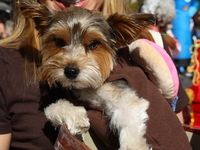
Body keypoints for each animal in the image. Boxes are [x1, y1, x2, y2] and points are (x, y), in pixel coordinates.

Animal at [18, 0, 155, 149]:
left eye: (93, 44)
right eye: (59, 41)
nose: (70, 71)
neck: (89, 87)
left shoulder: (126, 100)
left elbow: (131, 127)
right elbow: (50, 108)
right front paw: (78, 116)